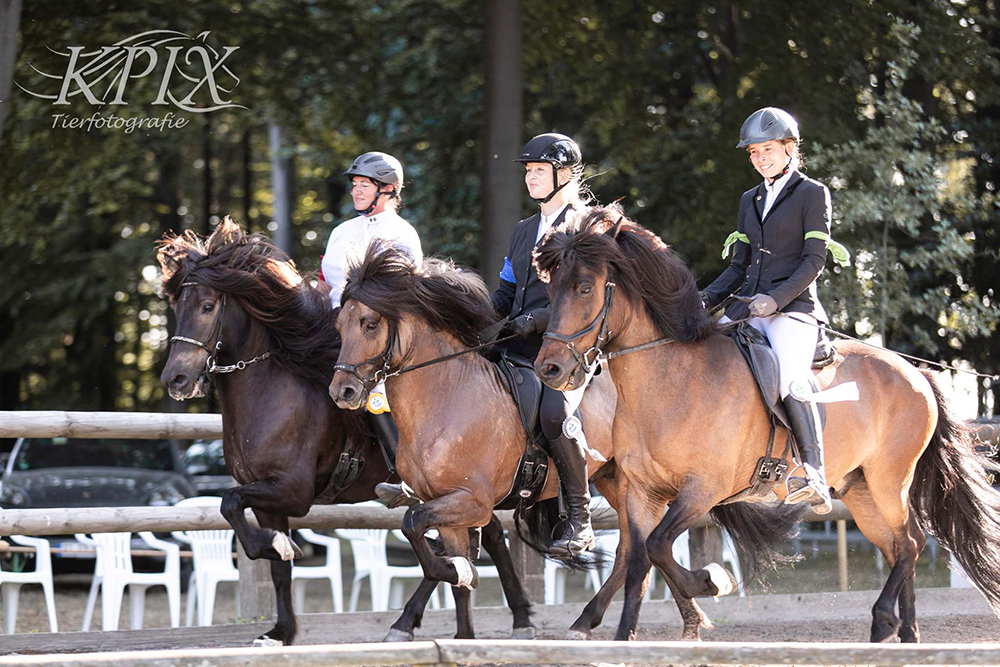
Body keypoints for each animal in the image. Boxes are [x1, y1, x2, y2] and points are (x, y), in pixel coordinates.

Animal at [156, 222, 532, 644]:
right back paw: (469, 621)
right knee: (481, 536)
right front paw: (281, 626)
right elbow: (270, 560)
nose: (176, 379)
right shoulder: (268, 498)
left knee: (474, 539)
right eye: (177, 308)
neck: (271, 387)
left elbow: (230, 502)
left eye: (207, 306)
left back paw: (466, 619)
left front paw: (280, 548)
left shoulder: (292, 489)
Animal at [330, 243, 632, 640]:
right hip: (610, 477)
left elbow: (413, 524)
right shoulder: (446, 507)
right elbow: (447, 561)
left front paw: (464, 575)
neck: (446, 398)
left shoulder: (473, 502)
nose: (342, 391)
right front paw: (464, 616)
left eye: (370, 323)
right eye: (339, 325)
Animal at [536, 206, 1000, 644]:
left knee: (911, 543)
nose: (549, 369)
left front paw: (712, 581)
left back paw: (886, 621)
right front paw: (624, 638)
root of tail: (915, 371)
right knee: (899, 545)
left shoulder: (703, 490)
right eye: (550, 289)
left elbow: (657, 546)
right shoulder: (641, 493)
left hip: (890, 480)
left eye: (584, 288)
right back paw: (905, 634)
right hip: (861, 489)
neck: (672, 381)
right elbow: (638, 562)